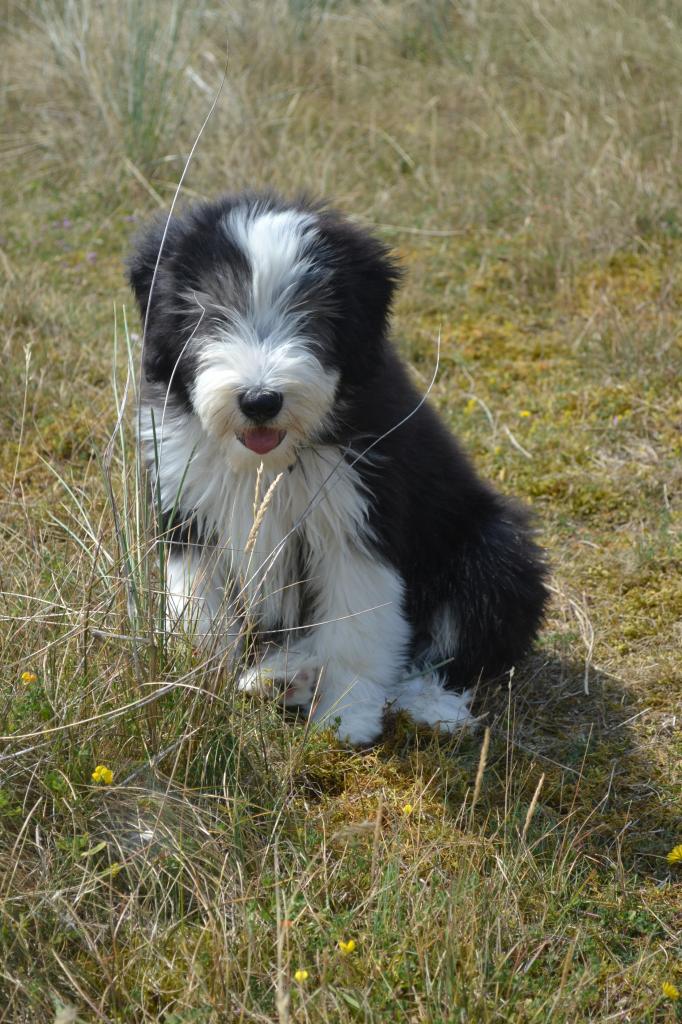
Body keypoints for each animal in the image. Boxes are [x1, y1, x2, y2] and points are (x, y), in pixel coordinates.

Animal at [125, 193, 548, 745]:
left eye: (312, 317)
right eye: (210, 316)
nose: (260, 400)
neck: (269, 463)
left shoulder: (355, 518)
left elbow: (355, 627)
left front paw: (347, 715)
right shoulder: (190, 510)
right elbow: (199, 610)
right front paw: (197, 683)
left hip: (496, 551)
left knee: (450, 654)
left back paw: (429, 706)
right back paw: (283, 676)